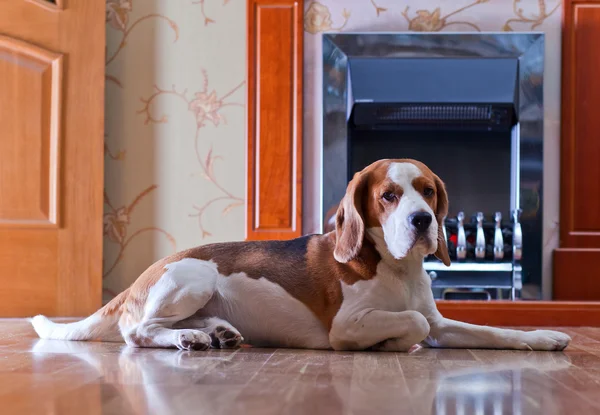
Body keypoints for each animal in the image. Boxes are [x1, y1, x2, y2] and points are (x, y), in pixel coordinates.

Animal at [31, 160, 572, 354]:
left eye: (427, 191)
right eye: (389, 196)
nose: (423, 221)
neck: (395, 267)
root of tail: (140, 279)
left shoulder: (441, 323)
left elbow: (493, 331)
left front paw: (542, 336)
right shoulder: (348, 326)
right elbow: (411, 327)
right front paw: (393, 344)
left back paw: (215, 333)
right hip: (193, 278)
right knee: (138, 331)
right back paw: (188, 337)